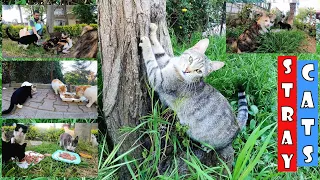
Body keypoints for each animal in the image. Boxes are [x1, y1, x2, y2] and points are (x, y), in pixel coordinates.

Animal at [139, 23, 248, 166]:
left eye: (198, 71)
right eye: (190, 59)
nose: (186, 70)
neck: (177, 71)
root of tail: (237, 126)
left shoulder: (159, 79)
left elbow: (151, 59)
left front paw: (146, 43)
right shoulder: (166, 61)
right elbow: (159, 51)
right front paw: (152, 31)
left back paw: (208, 147)